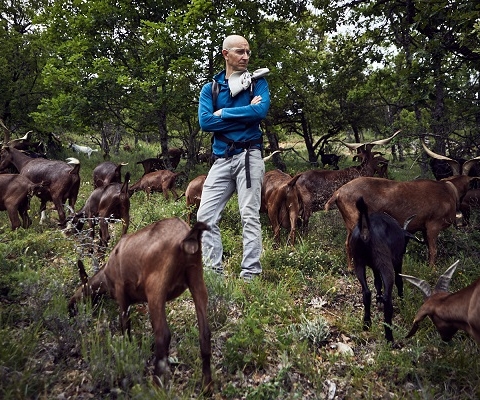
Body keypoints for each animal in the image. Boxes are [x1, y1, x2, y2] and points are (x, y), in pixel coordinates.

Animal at [324, 175, 478, 268]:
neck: (449, 191)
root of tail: (338, 193)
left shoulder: (423, 228)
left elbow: (428, 248)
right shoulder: (433, 225)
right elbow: (434, 250)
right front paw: (431, 269)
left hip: (350, 223)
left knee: (347, 242)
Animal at [346, 196, 418, 340]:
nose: (405, 250)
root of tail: (365, 230)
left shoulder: (374, 266)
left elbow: (377, 282)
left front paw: (378, 298)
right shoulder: (397, 261)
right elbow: (399, 281)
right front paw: (402, 301)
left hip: (358, 262)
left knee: (366, 292)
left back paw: (367, 323)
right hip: (386, 264)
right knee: (387, 297)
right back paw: (389, 336)